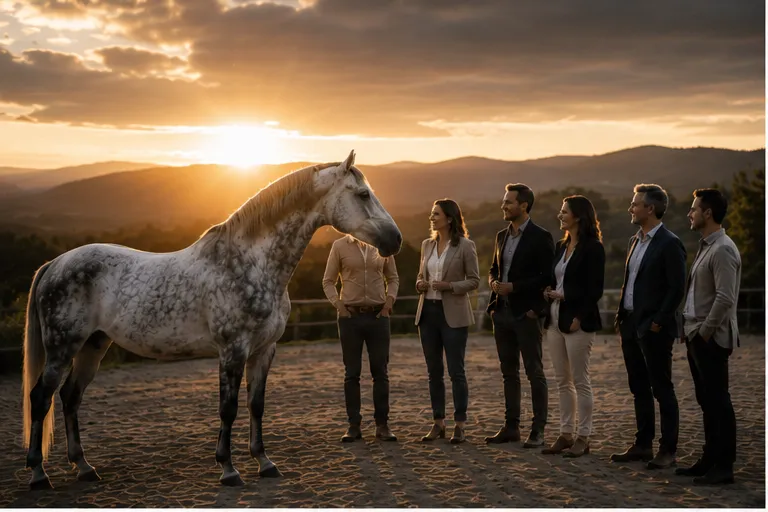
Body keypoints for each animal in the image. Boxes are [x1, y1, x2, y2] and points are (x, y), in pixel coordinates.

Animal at [21, 150, 402, 489]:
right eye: (363, 194)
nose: (395, 240)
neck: (251, 263)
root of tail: (54, 265)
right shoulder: (232, 350)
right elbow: (228, 408)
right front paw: (228, 470)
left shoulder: (264, 350)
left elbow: (256, 405)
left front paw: (264, 463)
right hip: (62, 348)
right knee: (41, 397)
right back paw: (39, 475)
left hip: (93, 345)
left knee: (70, 397)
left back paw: (84, 468)